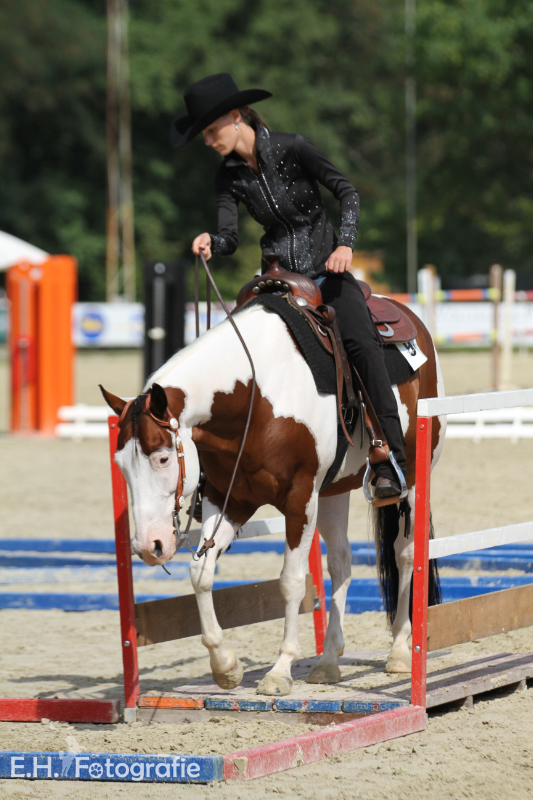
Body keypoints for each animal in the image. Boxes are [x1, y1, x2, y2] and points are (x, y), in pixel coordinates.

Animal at [101, 296, 444, 696]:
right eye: (120, 465)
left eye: (162, 457)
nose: (147, 546)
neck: (255, 395)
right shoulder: (230, 498)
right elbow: (201, 572)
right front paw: (225, 666)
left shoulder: (300, 500)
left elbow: (291, 581)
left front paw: (280, 671)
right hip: (333, 492)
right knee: (341, 561)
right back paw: (328, 660)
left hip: (414, 478)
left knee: (404, 553)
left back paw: (400, 651)